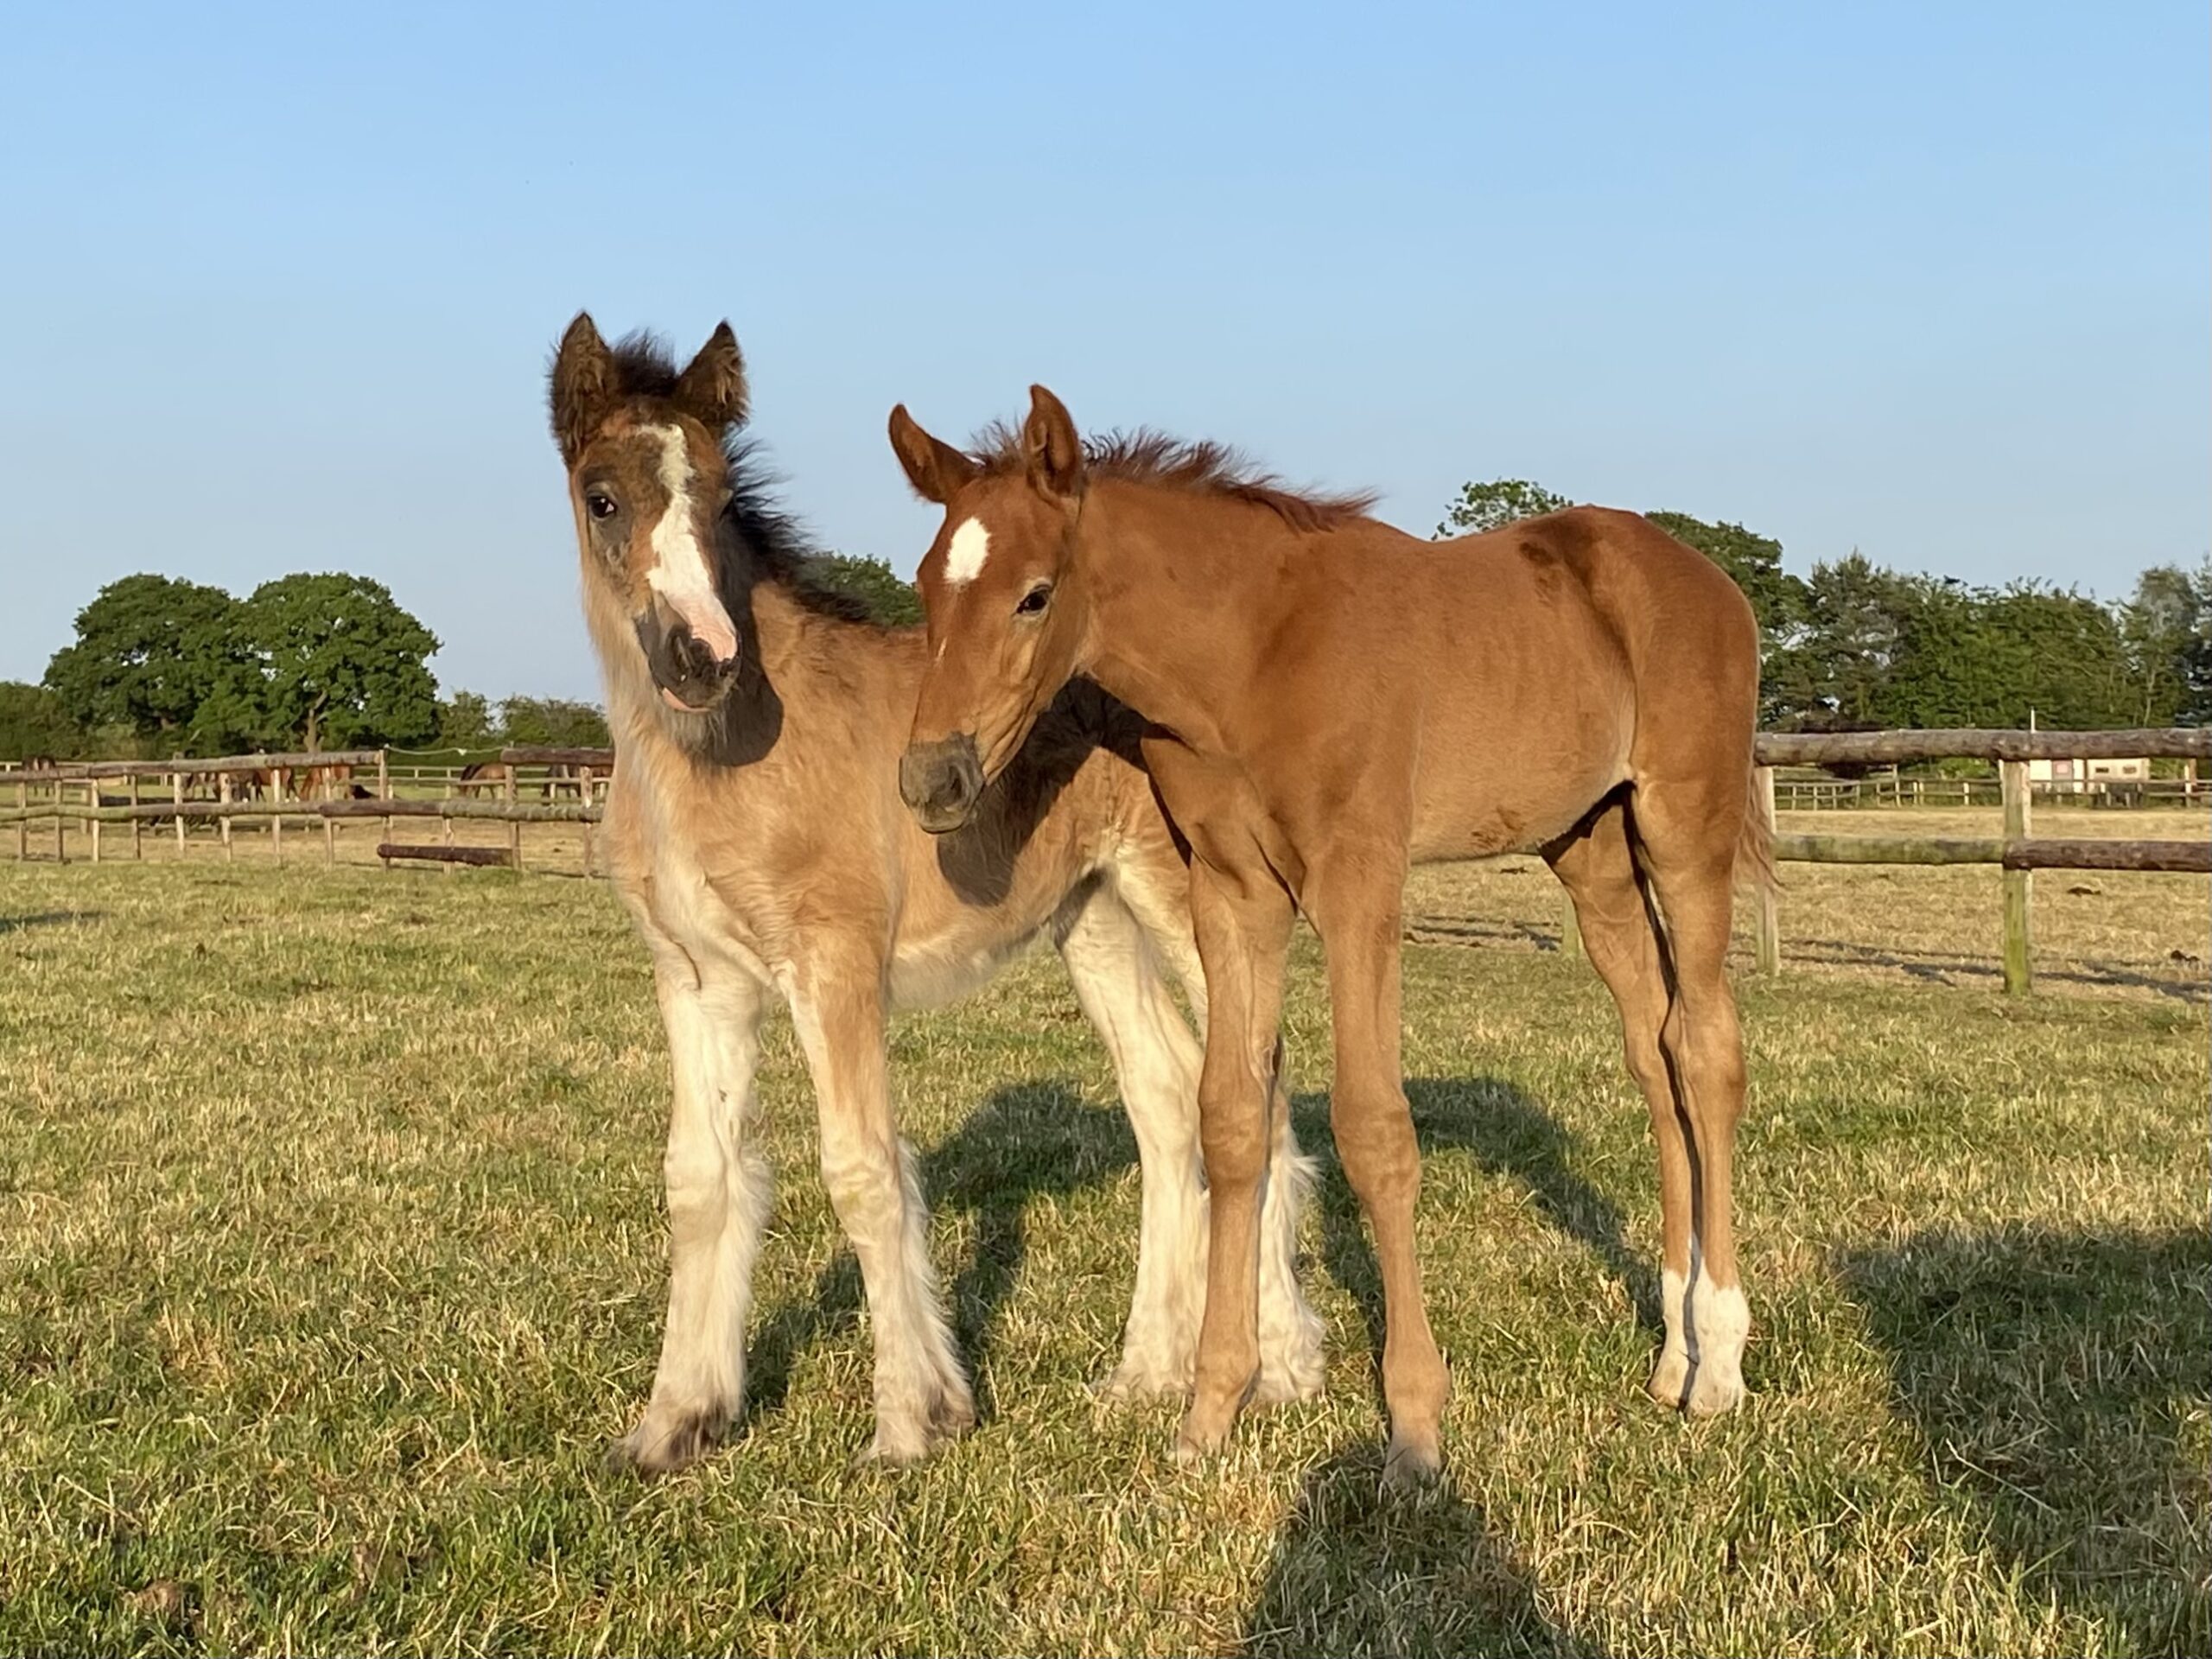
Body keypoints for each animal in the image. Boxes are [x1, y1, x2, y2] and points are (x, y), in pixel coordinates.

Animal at [547, 316, 1322, 1471]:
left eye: (722, 495)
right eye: (601, 497)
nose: (702, 657)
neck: (716, 756)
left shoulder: (833, 963)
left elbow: (862, 1172)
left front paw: (913, 1420)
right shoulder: (696, 979)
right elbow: (700, 1180)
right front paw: (675, 1421)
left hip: (1190, 899)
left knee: (1255, 1096)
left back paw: (1280, 1368)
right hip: (1092, 915)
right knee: (1167, 1097)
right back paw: (1143, 1374)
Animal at [888, 388, 1771, 1482]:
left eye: (1034, 596)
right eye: (926, 587)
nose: (932, 781)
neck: (1254, 656)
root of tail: (1704, 575)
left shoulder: (1357, 885)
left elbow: (1373, 1129)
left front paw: (1415, 1428)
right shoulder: (1231, 894)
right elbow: (1229, 1119)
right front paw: (1210, 1411)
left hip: (1685, 835)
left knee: (1705, 1053)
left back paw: (1720, 1363)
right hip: (1592, 853)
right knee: (1653, 1057)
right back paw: (1672, 1352)